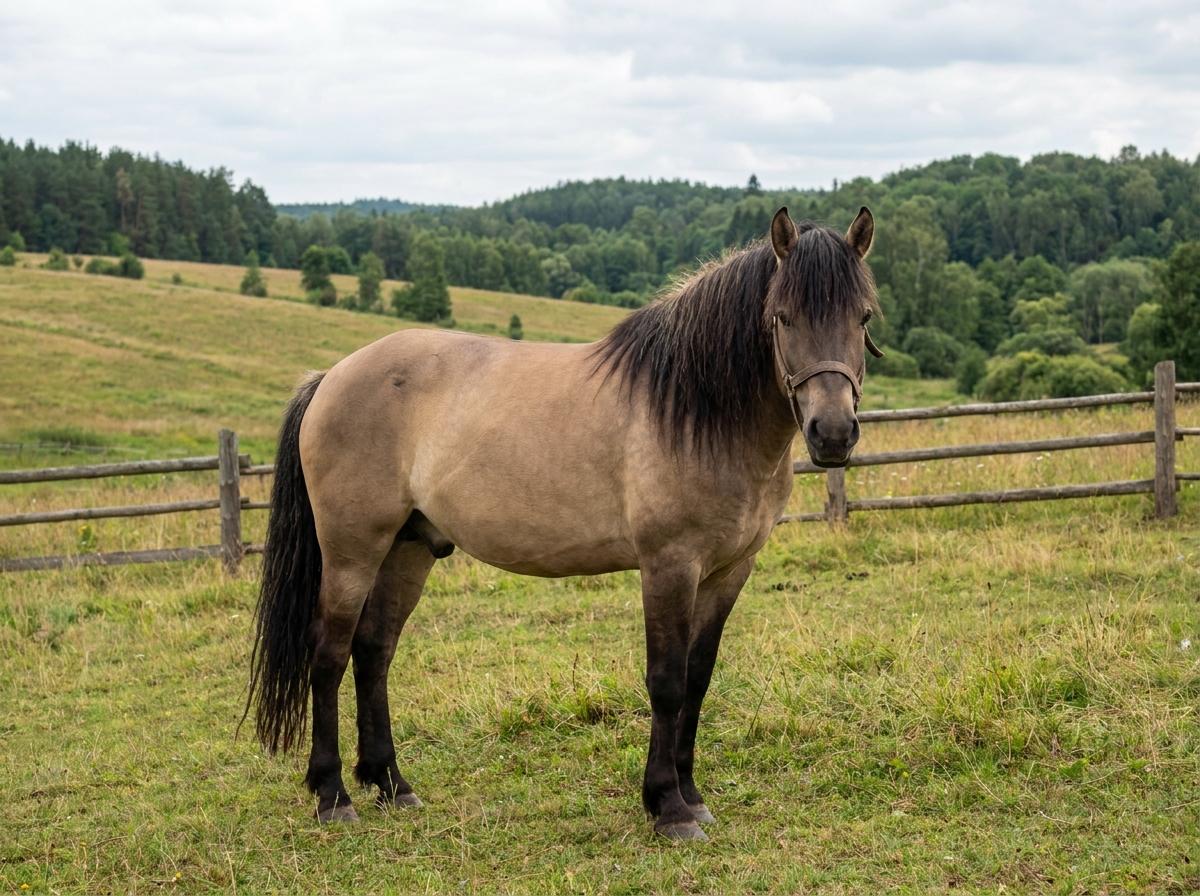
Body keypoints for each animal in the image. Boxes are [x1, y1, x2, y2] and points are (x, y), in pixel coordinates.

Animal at [245, 206, 881, 842]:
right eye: (783, 317)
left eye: (863, 316)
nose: (832, 434)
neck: (695, 410)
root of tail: (331, 377)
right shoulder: (669, 566)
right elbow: (667, 682)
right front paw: (668, 808)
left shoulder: (729, 571)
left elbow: (698, 679)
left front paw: (692, 796)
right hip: (352, 551)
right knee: (329, 654)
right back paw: (332, 794)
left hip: (409, 549)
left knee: (374, 649)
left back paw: (391, 784)